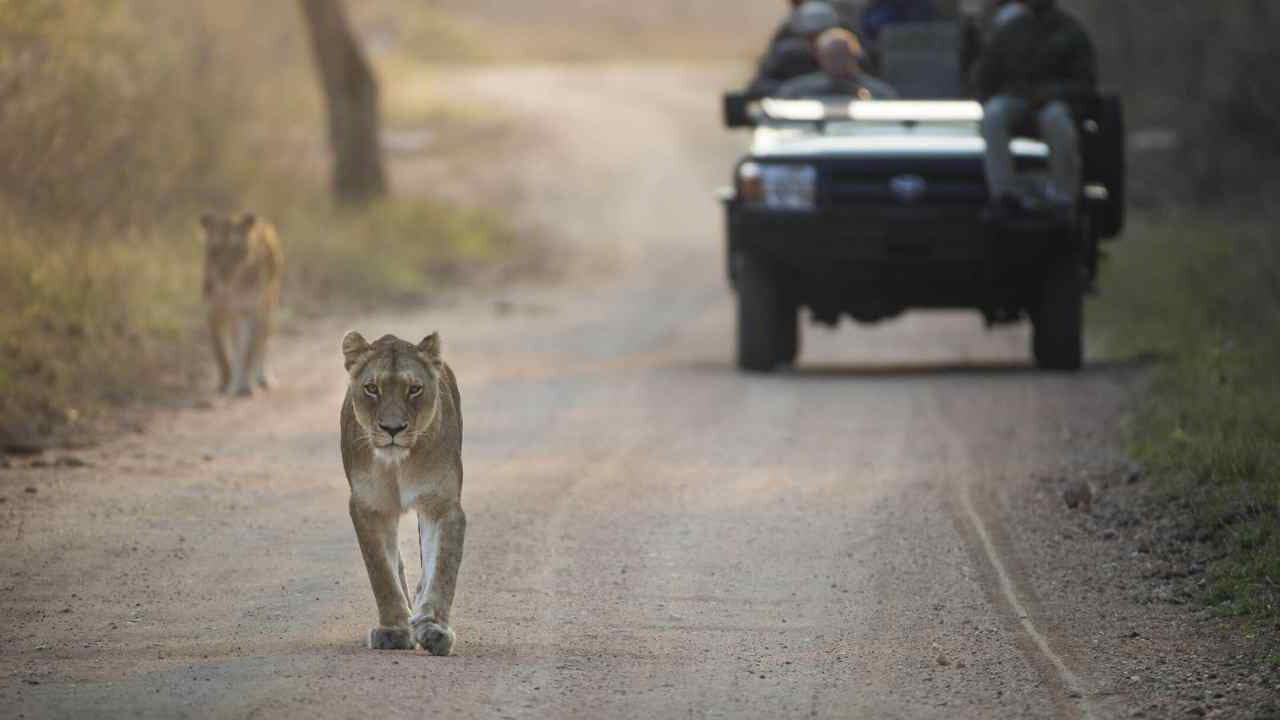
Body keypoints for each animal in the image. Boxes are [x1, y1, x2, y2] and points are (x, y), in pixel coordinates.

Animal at [200, 212, 283, 396]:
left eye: (236, 251)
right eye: (215, 250)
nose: (225, 273)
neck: (231, 286)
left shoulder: (254, 311)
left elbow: (250, 351)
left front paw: (245, 386)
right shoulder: (214, 312)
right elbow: (221, 352)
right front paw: (225, 382)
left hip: (268, 305)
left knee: (261, 341)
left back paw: (258, 378)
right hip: (236, 316)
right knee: (238, 345)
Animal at [340, 331, 466, 655]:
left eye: (414, 389)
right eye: (372, 388)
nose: (393, 428)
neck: (398, 464)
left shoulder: (443, 506)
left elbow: (442, 569)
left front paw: (433, 628)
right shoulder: (368, 507)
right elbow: (381, 571)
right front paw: (394, 630)